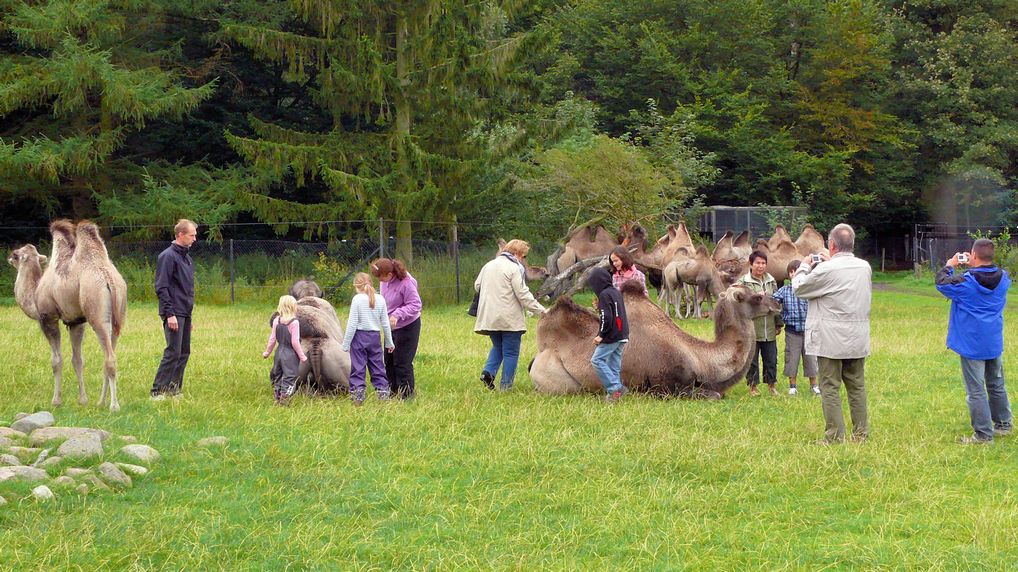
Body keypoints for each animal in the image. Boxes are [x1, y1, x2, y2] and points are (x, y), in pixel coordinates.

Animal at [9, 217, 127, 409]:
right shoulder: (76, 322)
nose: (8, 258)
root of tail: (109, 279)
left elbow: (56, 360)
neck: (34, 294)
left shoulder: (48, 317)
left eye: (16, 254)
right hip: (118, 316)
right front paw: (83, 400)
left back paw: (114, 406)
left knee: (110, 358)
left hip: (96, 313)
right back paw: (100, 402)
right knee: (109, 352)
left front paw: (56, 401)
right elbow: (77, 360)